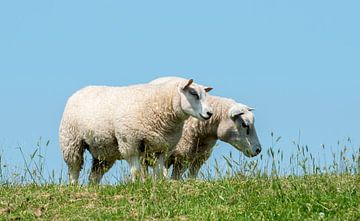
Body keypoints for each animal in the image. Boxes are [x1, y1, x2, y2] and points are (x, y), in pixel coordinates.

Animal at [57, 78, 212, 184]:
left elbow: (158, 170)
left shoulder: (161, 147)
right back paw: (73, 185)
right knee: (74, 168)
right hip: (71, 141)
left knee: (95, 175)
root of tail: (81, 90)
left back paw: (92, 187)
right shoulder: (130, 142)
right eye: (193, 93)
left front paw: (156, 184)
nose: (209, 113)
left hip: (104, 151)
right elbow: (136, 169)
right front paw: (136, 184)